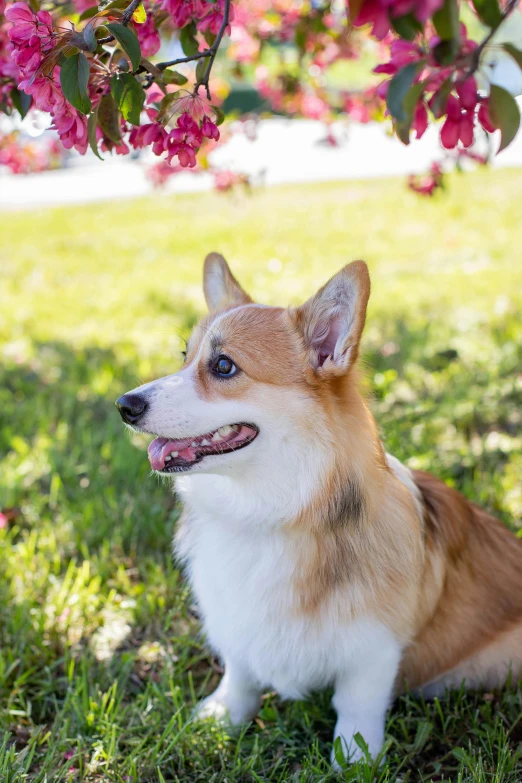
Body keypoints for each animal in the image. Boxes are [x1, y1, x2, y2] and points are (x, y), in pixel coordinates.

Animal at [116, 254, 520, 768]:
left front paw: (354, 759)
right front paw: (221, 717)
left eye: (224, 366)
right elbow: (240, 672)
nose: (124, 405)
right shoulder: (236, 620)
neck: (272, 512)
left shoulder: (374, 647)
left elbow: (356, 702)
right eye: (183, 356)